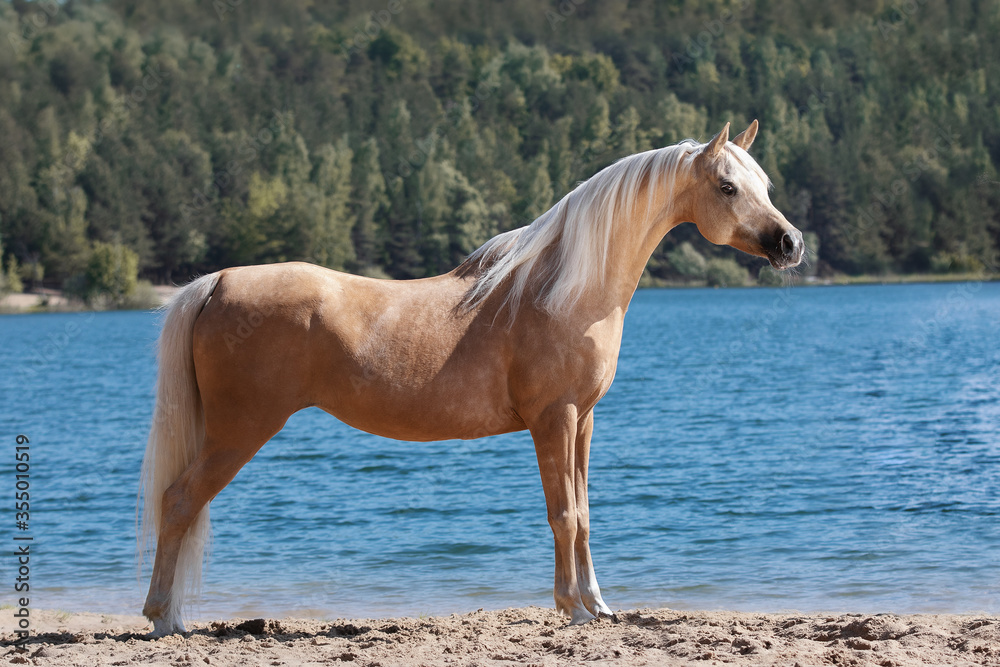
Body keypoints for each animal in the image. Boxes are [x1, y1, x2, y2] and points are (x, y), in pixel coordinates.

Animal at [139, 121, 804, 636]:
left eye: (764, 185)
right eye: (727, 186)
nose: (791, 243)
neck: (563, 292)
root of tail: (218, 281)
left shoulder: (585, 420)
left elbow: (586, 512)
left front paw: (599, 605)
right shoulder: (552, 420)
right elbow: (562, 513)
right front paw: (572, 610)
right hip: (239, 431)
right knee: (179, 501)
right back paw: (166, 619)